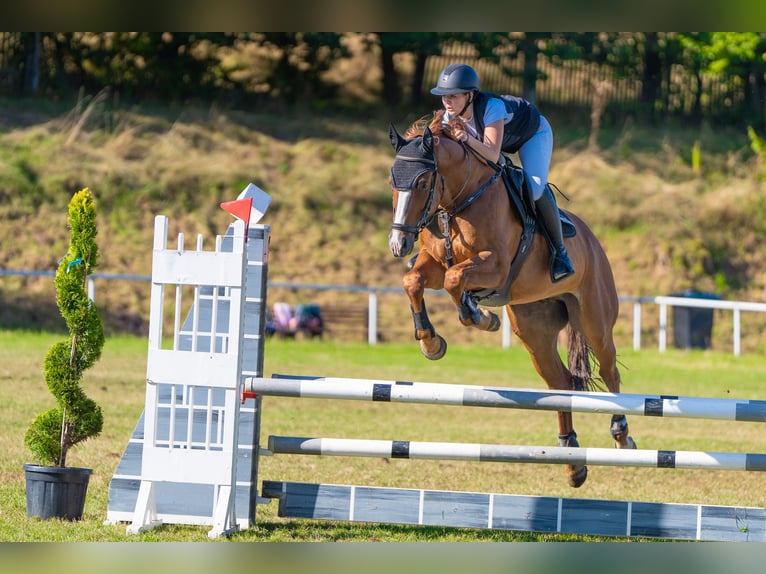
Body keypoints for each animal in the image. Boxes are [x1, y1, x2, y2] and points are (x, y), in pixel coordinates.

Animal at [388, 113, 640, 490]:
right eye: (392, 181)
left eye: (421, 183)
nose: (398, 245)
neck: (459, 200)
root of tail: (593, 242)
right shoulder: (435, 262)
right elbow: (415, 280)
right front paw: (431, 342)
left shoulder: (494, 266)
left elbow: (453, 280)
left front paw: (480, 317)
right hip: (533, 328)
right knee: (561, 382)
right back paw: (572, 461)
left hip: (594, 320)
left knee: (609, 372)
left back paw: (622, 436)